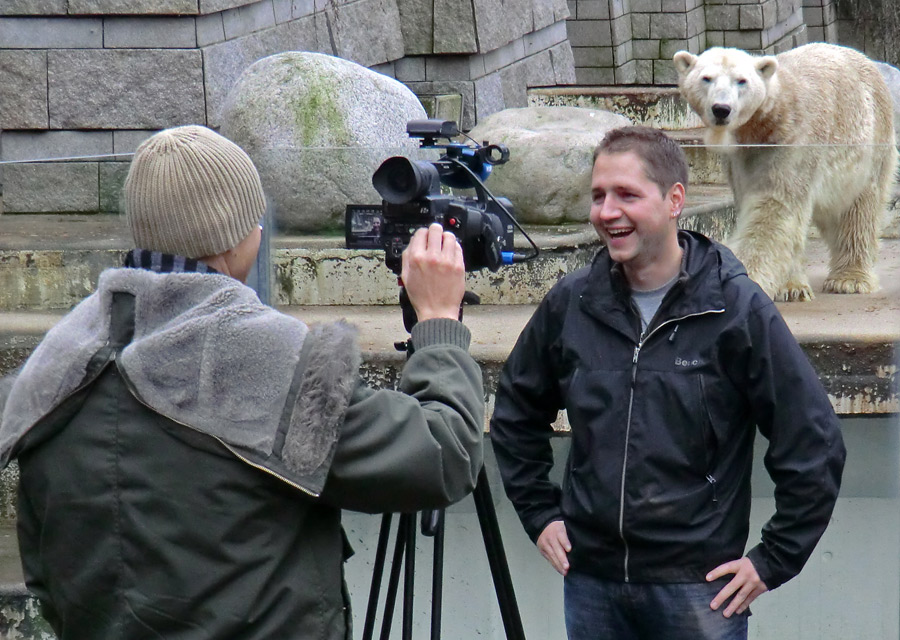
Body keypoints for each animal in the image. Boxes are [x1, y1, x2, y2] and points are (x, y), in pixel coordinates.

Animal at [672, 45, 896, 300]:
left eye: (741, 81)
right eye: (706, 78)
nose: (721, 109)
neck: (765, 124)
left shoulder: (794, 142)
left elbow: (774, 208)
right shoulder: (740, 157)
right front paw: (790, 287)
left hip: (868, 143)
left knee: (858, 208)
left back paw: (849, 279)